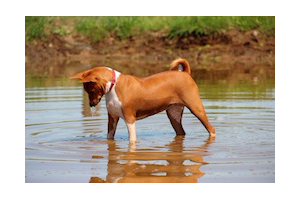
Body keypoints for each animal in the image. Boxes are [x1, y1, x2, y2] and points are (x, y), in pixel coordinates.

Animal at [70, 58, 216, 142]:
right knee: (181, 133)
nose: (91, 104)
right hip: (173, 113)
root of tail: (185, 73)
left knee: (211, 129)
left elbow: (132, 140)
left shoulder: (130, 118)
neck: (113, 86)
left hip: (196, 108)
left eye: (91, 91)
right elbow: (109, 138)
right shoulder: (112, 118)